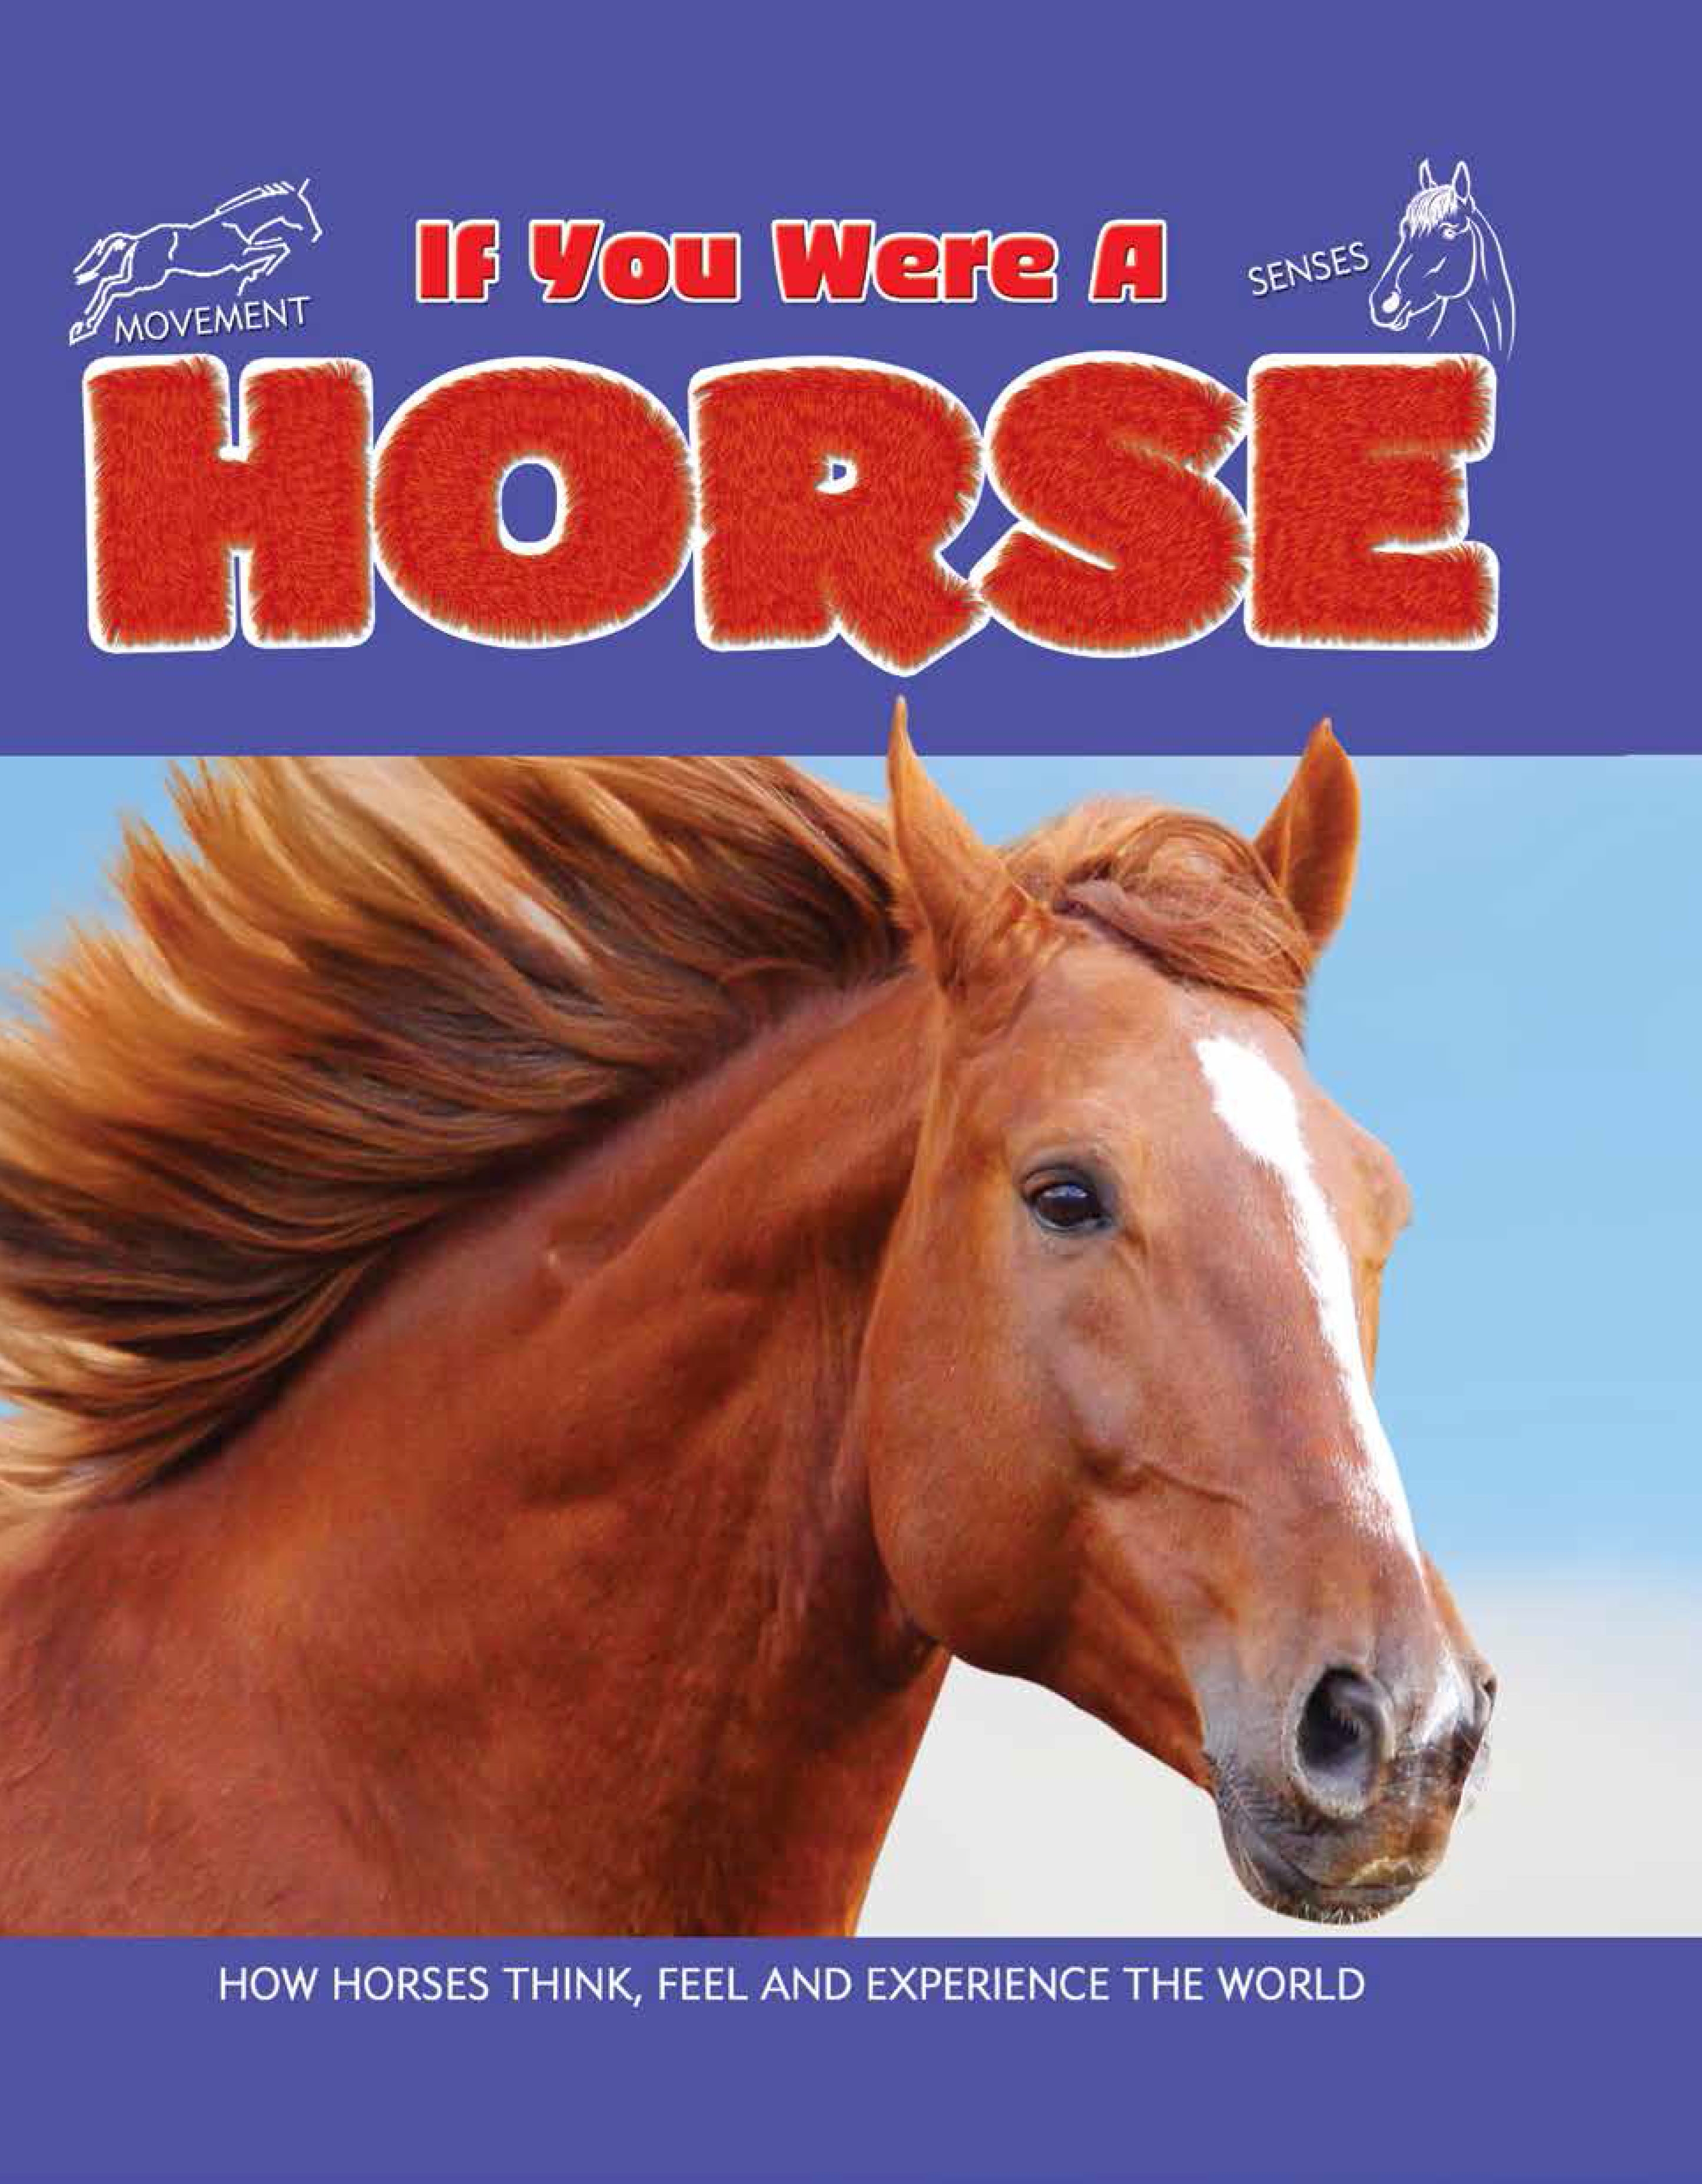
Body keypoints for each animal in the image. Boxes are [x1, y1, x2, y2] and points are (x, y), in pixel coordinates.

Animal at [68, 180, 321, 347]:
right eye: (301, 208)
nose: (316, 233)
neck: (239, 224)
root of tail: (137, 240)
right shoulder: (239, 258)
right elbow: (279, 248)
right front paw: (254, 277)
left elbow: (279, 247)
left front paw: (255, 275)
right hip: (146, 280)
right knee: (111, 288)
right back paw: (85, 327)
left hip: (138, 277)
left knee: (107, 283)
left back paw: (84, 323)